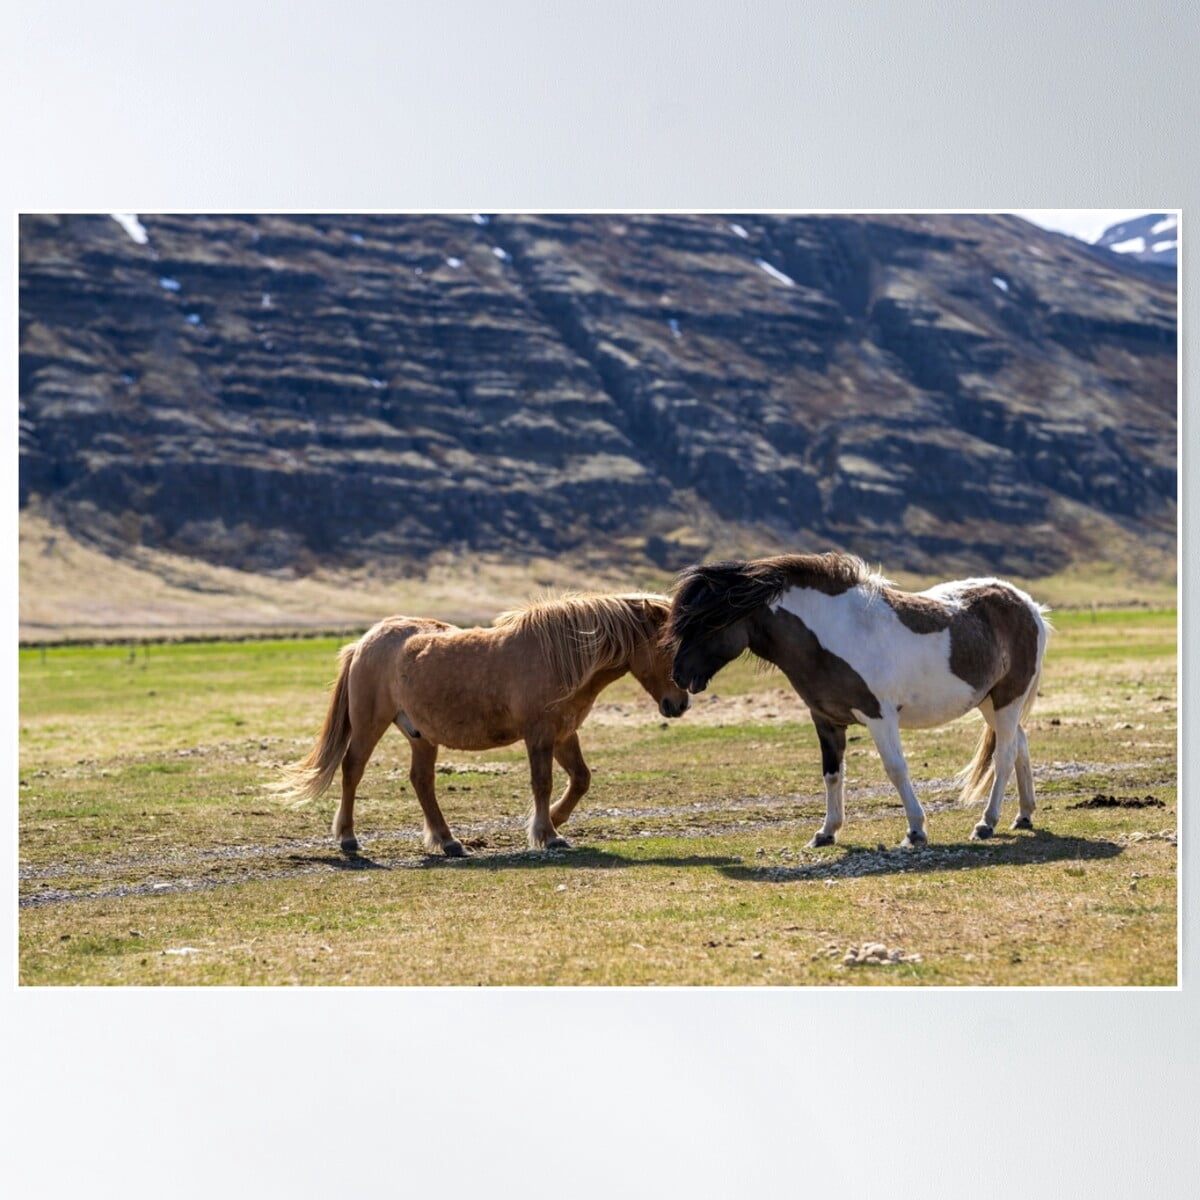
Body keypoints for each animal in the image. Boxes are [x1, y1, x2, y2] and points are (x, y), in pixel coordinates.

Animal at [273, 592, 690, 856]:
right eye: (666, 646)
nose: (680, 703)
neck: (558, 655)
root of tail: (364, 642)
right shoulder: (540, 734)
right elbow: (542, 782)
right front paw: (546, 834)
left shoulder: (564, 733)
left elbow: (580, 779)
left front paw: (554, 821)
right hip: (369, 724)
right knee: (352, 770)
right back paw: (348, 837)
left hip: (421, 736)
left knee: (421, 782)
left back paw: (448, 841)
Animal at [666, 553, 1050, 848]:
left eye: (707, 623)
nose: (679, 677)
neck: (834, 634)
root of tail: (1028, 605)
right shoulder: (826, 721)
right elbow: (832, 774)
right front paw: (826, 833)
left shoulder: (879, 717)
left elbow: (896, 769)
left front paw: (915, 831)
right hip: (990, 702)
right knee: (1020, 745)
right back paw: (1023, 815)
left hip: (1007, 699)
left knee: (1003, 756)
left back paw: (987, 823)